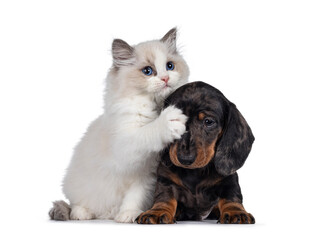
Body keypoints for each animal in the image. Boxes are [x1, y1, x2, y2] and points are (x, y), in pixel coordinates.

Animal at [49, 28, 190, 223]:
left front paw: (129, 214)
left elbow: (136, 195)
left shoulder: (147, 175)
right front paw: (170, 120)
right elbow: (147, 132)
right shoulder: (125, 147)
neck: (156, 108)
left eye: (170, 66)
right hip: (76, 183)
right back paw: (81, 213)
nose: (165, 78)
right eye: (148, 71)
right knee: (76, 203)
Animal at [137, 81, 255, 224]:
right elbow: (164, 196)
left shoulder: (228, 179)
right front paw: (158, 211)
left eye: (208, 122)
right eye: (174, 121)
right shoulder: (165, 179)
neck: (195, 172)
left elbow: (231, 196)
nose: (185, 159)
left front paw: (235, 211)